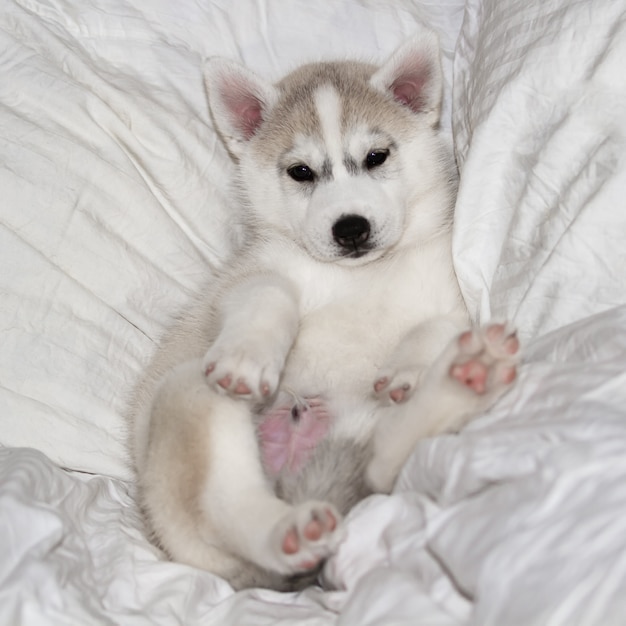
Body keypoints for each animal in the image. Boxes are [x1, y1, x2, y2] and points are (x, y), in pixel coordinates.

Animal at [129, 34, 520, 588]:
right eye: (302, 172)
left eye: (376, 157)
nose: (350, 227)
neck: (360, 277)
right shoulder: (247, 277)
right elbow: (269, 294)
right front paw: (248, 356)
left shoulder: (452, 294)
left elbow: (437, 325)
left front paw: (411, 367)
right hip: (189, 396)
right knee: (227, 508)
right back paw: (287, 530)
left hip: (363, 433)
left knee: (383, 460)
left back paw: (465, 377)